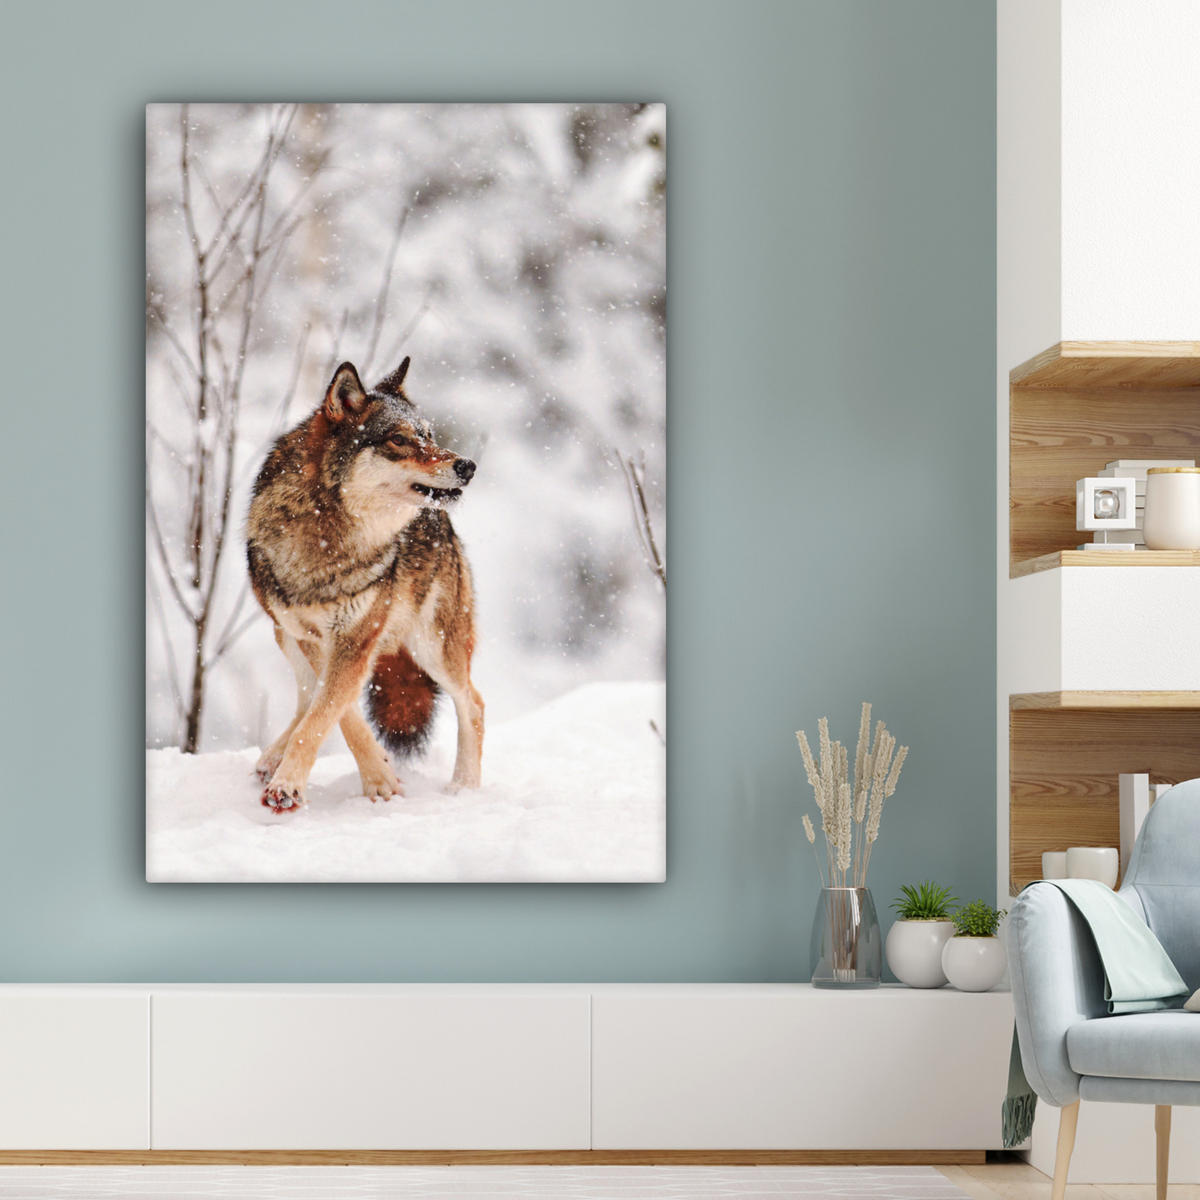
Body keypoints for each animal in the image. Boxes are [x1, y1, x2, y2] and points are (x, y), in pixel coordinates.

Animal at [246, 356, 483, 813]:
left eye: (429, 435)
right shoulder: (314, 637)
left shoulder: (355, 638)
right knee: (305, 696)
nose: (467, 466)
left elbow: (325, 713)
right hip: (284, 635)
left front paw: (291, 786)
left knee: (474, 704)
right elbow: (335, 712)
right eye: (399, 440)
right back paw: (270, 758)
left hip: (433, 647)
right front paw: (379, 775)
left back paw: (464, 788)